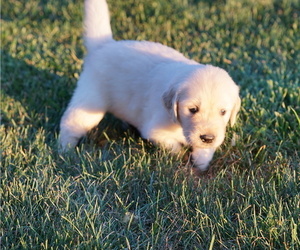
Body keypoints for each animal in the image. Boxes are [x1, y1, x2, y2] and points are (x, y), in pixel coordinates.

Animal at [59, 0, 241, 170]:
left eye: (223, 112)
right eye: (192, 109)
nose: (208, 138)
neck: (179, 123)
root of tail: (104, 45)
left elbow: (204, 151)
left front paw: (201, 162)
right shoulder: (156, 130)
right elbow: (174, 146)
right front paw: (180, 157)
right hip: (90, 101)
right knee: (70, 124)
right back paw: (64, 152)